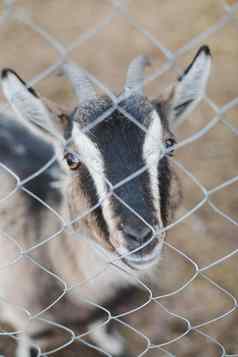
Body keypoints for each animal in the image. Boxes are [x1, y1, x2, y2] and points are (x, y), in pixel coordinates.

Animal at [0, 45, 212, 356]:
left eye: (169, 145)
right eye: (71, 158)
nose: (139, 237)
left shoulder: (105, 308)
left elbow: (104, 324)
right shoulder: (29, 321)